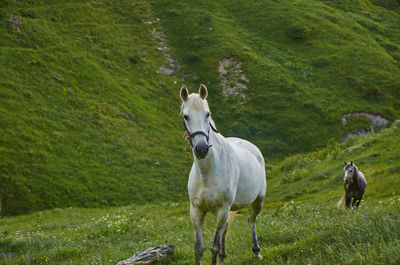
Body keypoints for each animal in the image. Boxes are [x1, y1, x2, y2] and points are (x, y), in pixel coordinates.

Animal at [180, 84, 268, 264]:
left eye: (207, 114)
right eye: (186, 116)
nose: (201, 149)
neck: (207, 173)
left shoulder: (222, 209)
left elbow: (214, 247)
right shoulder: (196, 211)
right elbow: (198, 248)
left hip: (258, 200)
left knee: (251, 220)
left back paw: (256, 252)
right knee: (226, 230)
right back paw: (224, 256)